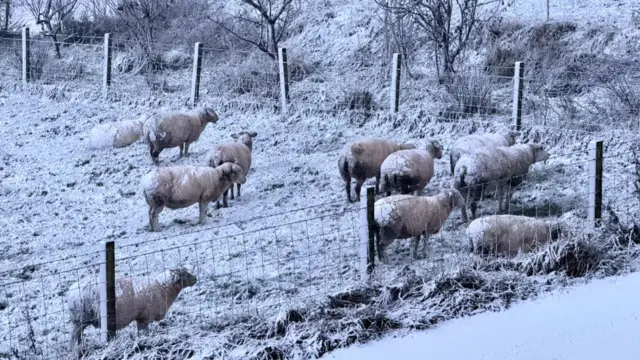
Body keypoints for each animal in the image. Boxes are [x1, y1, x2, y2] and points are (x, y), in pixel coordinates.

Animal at [66, 266, 198, 348]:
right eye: (184, 273)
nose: (196, 279)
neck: (162, 287)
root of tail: (71, 290)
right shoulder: (144, 317)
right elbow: (144, 332)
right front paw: (145, 341)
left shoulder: (140, 317)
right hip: (80, 319)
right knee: (74, 337)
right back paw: (76, 349)